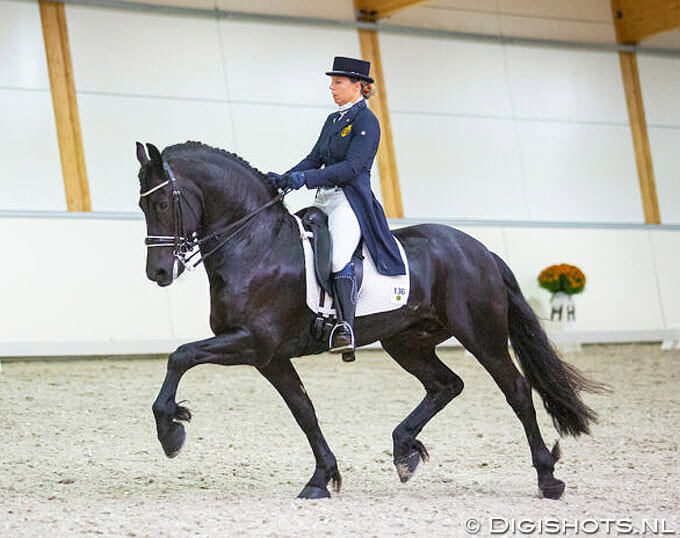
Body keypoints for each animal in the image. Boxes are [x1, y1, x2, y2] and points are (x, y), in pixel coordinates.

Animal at [137, 141, 600, 498]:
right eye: (141, 204)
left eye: (160, 202)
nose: (157, 273)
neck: (255, 243)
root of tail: (480, 249)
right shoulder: (269, 357)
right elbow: (304, 410)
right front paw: (321, 479)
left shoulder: (252, 341)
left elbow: (181, 355)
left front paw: (170, 431)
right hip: (407, 341)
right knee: (445, 384)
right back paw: (404, 450)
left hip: (481, 335)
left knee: (517, 391)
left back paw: (548, 478)